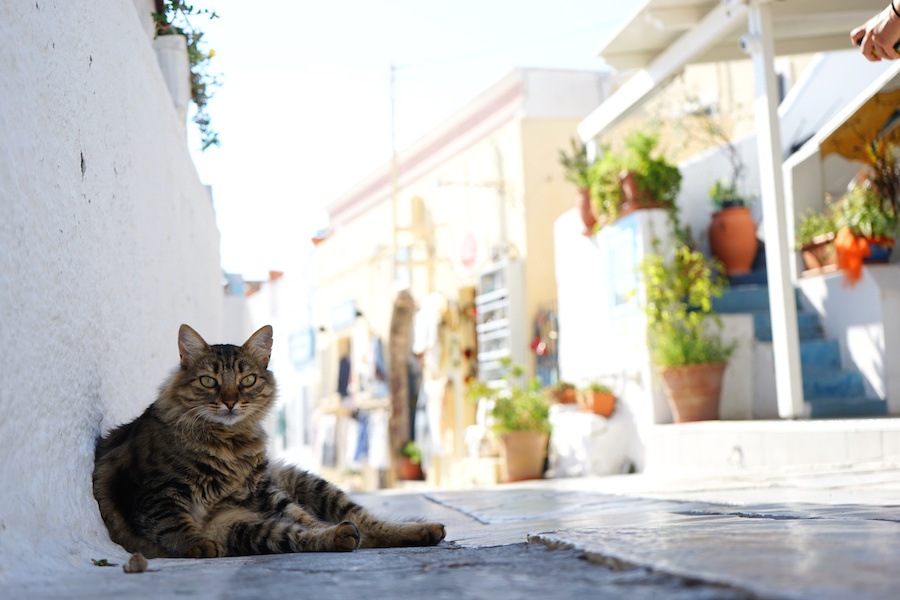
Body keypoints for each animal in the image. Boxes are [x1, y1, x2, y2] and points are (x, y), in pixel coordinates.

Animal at [95, 324, 446, 556]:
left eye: (247, 380)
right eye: (208, 381)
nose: (230, 402)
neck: (228, 444)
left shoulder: (265, 491)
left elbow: (306, 518)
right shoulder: (156, 493)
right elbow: (175, 524)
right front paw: (198, 544)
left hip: (307, 485)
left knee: (364, 524)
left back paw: (418, 530)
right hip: (244, 529)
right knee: (301, 536)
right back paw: (342, 536)